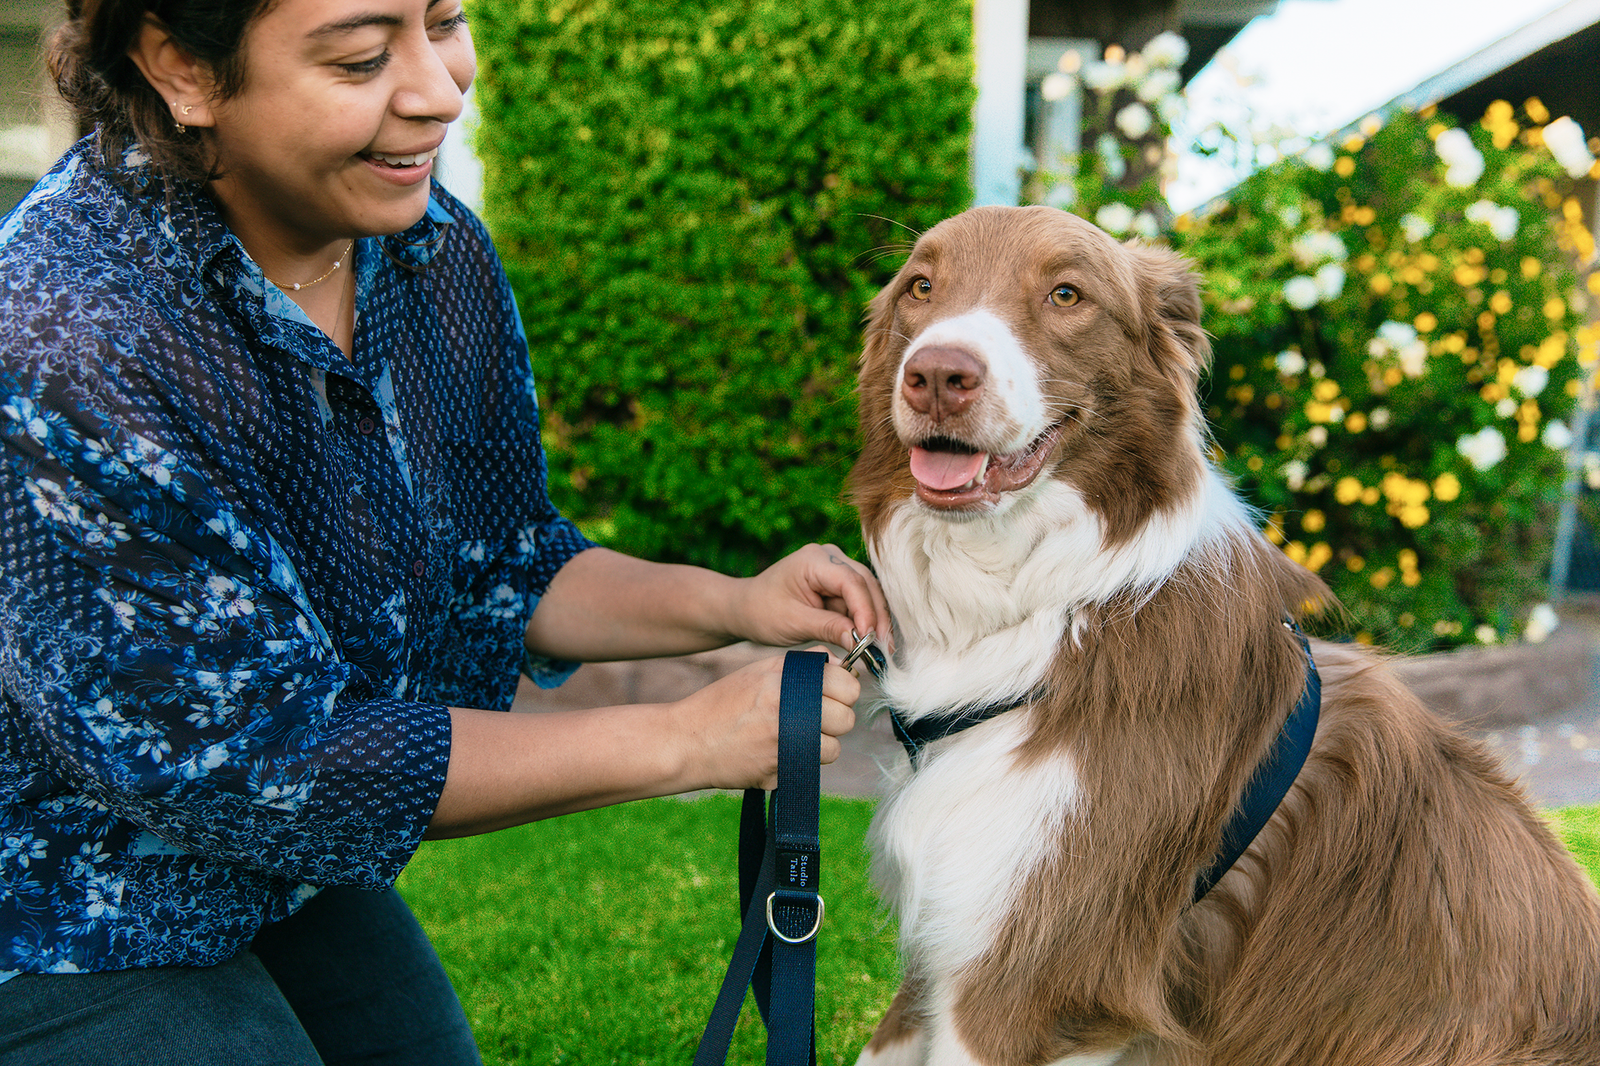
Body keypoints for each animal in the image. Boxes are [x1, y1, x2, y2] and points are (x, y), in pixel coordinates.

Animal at [851, 208, 1600, 1062]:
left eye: (1067, 293)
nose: (937, 375)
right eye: (921, 286)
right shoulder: (948, 947)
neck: (1049, 607)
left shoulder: (1024, 982)